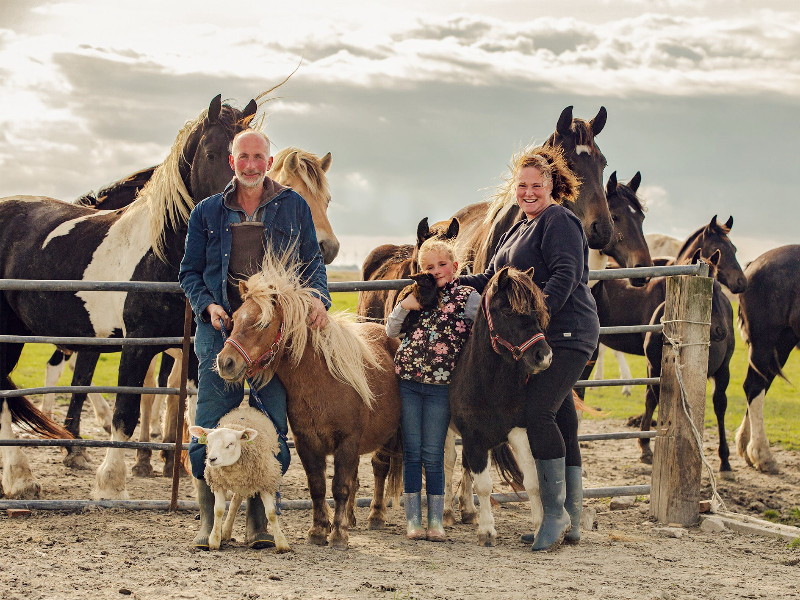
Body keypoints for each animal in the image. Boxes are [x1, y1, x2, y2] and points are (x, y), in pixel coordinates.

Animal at [0, 94, 255, 500]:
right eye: (213, 153)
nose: (240, 218)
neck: (161, 255)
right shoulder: (137, 343)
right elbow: (126, 412)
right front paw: (111, 483)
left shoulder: (195, 347)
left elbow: (195, 411)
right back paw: (20, 477)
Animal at [187, 406, 288, 552]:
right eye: (208, 443)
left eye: (230, 444)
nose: (211, 459)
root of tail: (247, 408)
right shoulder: (217, 482)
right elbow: (218, 510)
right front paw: (214, 540)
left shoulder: (266, 482)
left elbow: (271, 513)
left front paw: (282, 543)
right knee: (235, 502)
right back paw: (225, 532)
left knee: (237, 501)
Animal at [216, 251, 404, 552]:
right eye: (233, 318)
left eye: (262, 323)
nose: (226, 362)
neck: (322, 383)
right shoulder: (306, 442)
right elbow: (318, 486)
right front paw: (318, 530)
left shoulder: (347, 442)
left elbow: (339, 487)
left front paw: (337, 535)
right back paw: (351, 517)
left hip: (389, 436)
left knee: (379, 468)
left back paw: (375, 515)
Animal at [446, 264, 552, 548]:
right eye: (507, 311)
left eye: (537, 311)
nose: (544, 355)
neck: (490, 385)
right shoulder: (474, 438)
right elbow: (484, 485)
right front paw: (487, 531)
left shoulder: (519, 432)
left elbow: (533, 480)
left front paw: (540, 526)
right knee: (448, 463)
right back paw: (447, 513)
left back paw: (466, 511)